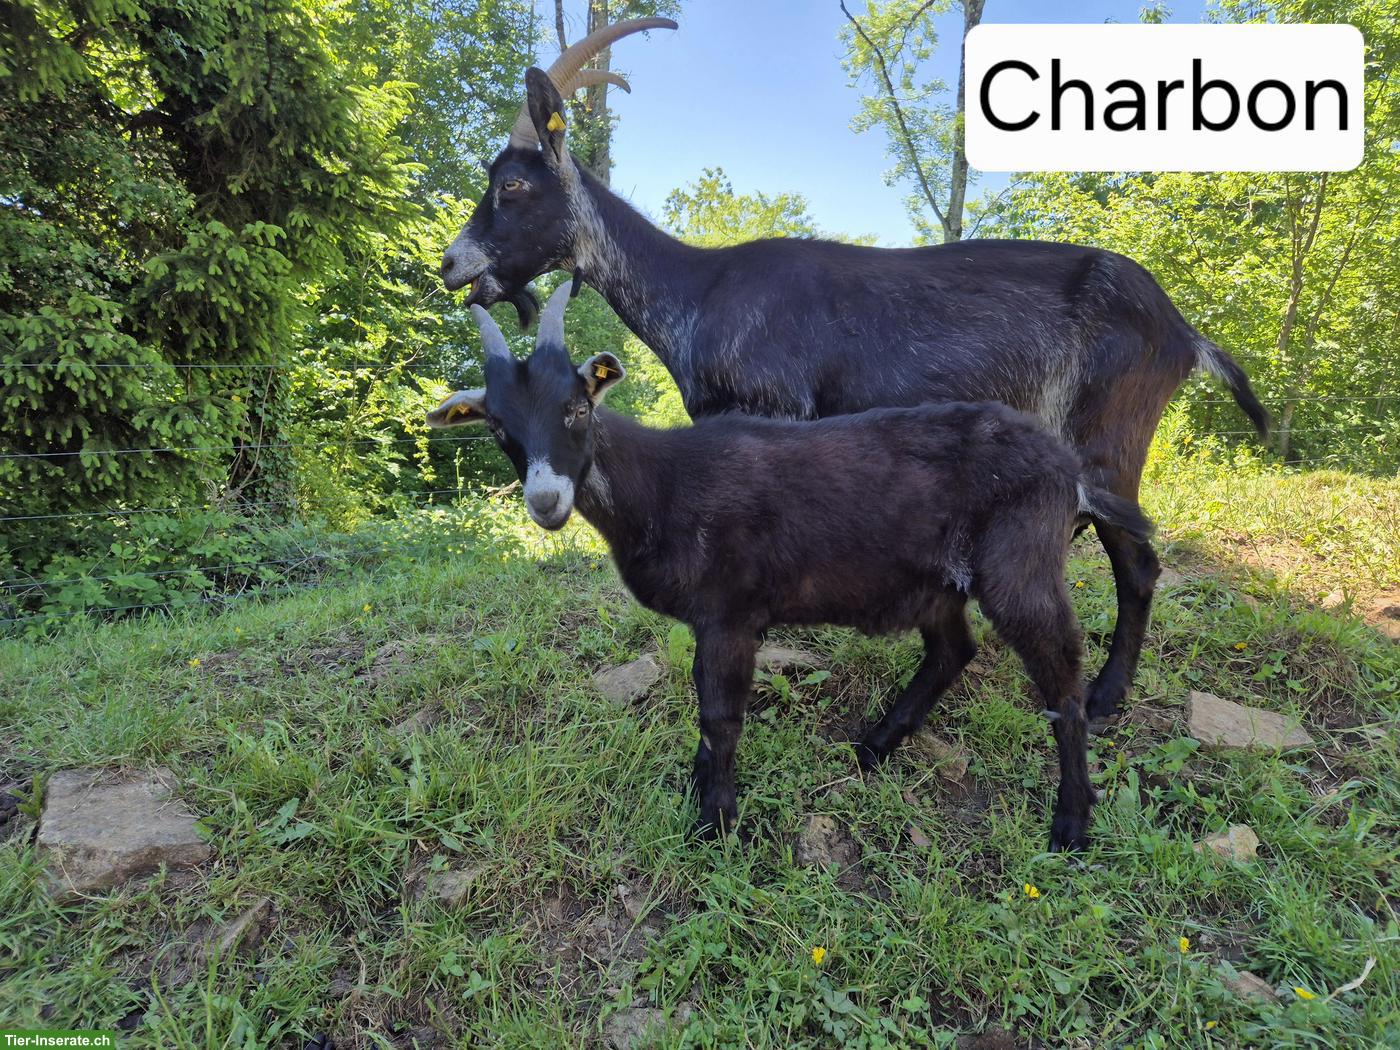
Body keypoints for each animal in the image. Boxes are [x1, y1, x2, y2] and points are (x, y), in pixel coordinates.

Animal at [428, 284, 1155, 852]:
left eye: (577, 408)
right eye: (497, 427)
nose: (546, 501)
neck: (664, 484)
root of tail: (1067, 470)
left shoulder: (731, 611)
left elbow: (721, 715)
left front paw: (715, 823)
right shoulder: (710, 621)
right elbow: (706, 707)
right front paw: (699, 789)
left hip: (1020, 565)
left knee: (1061, 678)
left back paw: (1071, 824)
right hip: (935, 581)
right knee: (955, 648)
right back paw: (875, 745)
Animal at [439, 20, 1267, 725]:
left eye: (512, 185)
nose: (451, 265)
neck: (699, 293)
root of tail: (1182, 331)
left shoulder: (775, 411)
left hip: (1109, 434)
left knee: (1141, 565)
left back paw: (1103, 698)